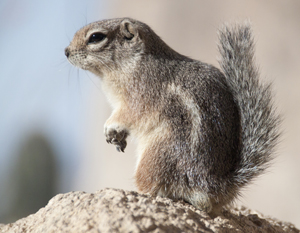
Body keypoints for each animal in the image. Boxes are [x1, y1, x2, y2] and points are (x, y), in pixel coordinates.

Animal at [65, 18, 282, 215]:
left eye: (96, 37)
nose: (66, 51)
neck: (134, 62)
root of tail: (214, 184)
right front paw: (118, 138)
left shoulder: (138, 96)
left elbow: (126, 115)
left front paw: (110, 127)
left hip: (155, 156)